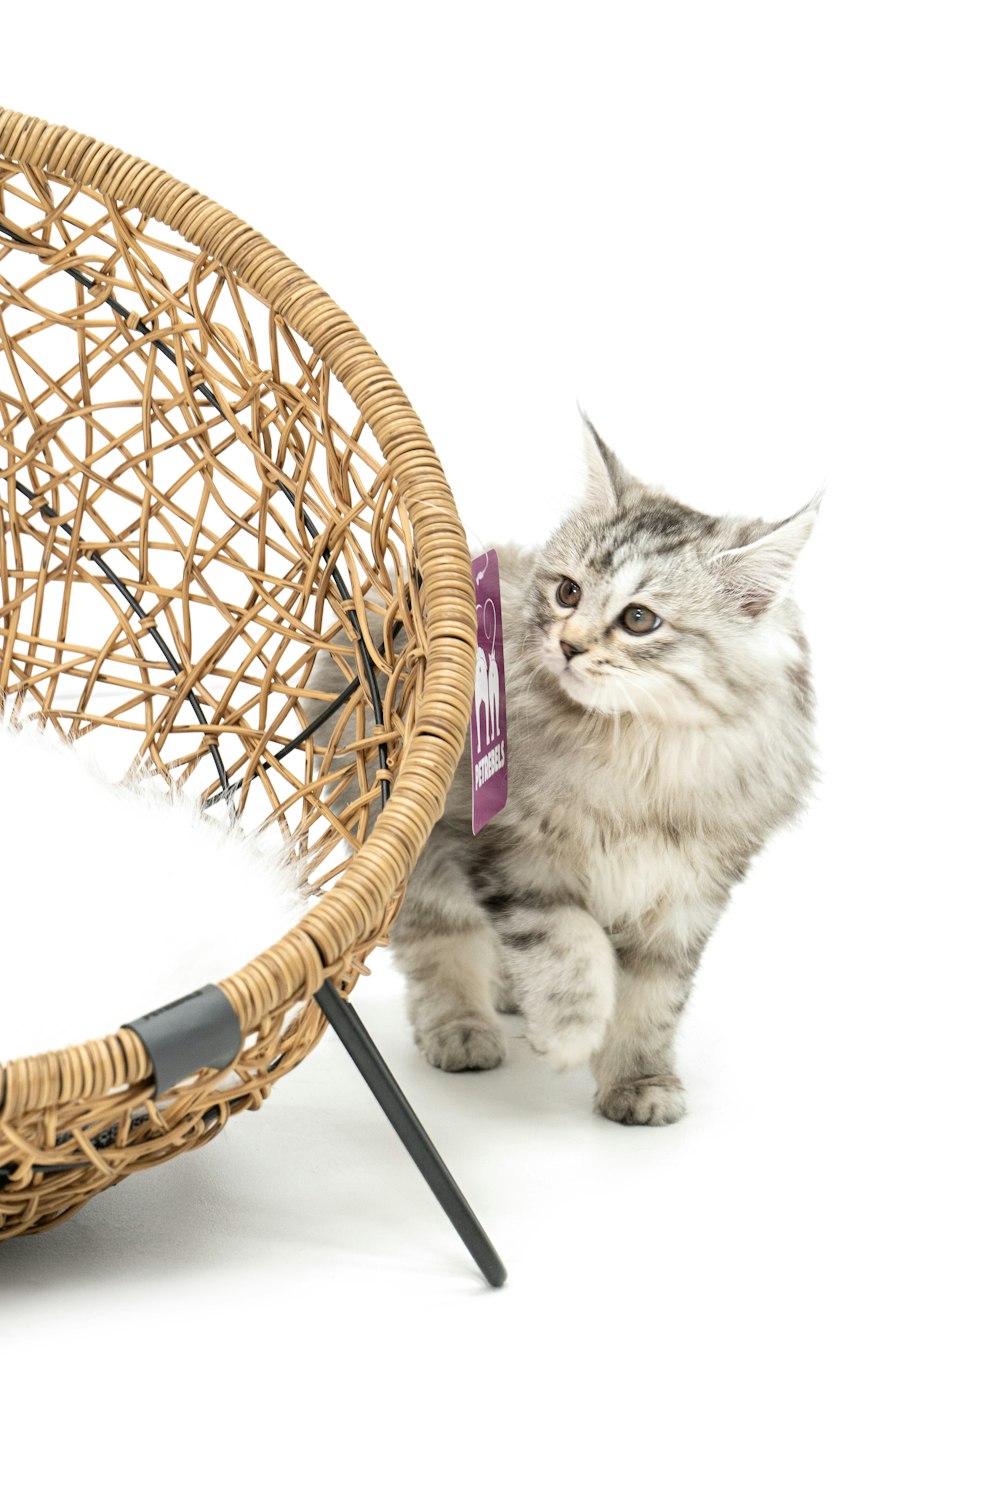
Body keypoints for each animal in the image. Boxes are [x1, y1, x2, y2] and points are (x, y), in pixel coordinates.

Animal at [319, 423, 815, 1128]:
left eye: (639, 619)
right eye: (568, 592)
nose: (570, 645)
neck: (637, 755)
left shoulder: (685, 897)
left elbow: (651, 1003)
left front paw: (638, 1083)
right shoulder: (517, 858)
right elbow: (568, 943)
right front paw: (569, 1032)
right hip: (416, 855)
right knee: (441, 946)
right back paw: (463, 1029)